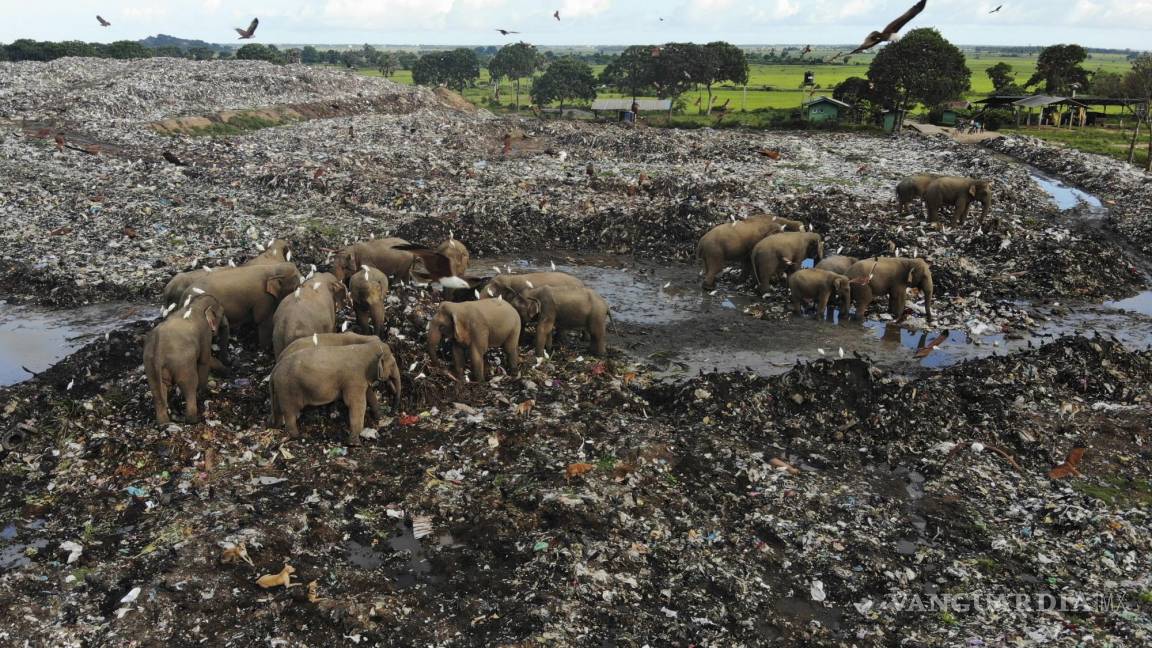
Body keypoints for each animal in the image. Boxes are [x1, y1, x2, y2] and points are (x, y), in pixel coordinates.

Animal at [143, 294, 228, 425]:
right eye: (223, 313)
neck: (194, 305)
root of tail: (158, 351)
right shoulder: (205, 333)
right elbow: (204, 360)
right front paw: (204, 392)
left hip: (150, 366)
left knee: (158, 390)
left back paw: (164, 423)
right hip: (182, 364)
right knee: (190, 385)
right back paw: (193, 419)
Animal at [269, 339, 400, 445]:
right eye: (393, 364)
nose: (392, 412)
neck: (365, 347)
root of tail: (274, 370)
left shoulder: (360, 379)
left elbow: (369, 395)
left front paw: (380, 418)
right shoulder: (354, 379)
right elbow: (357, 404)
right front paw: (354, 443)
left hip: (279, 391)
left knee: (278, 409)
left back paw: (277, 426)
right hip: (288, 390)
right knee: (290, 413)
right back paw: (297, 436)